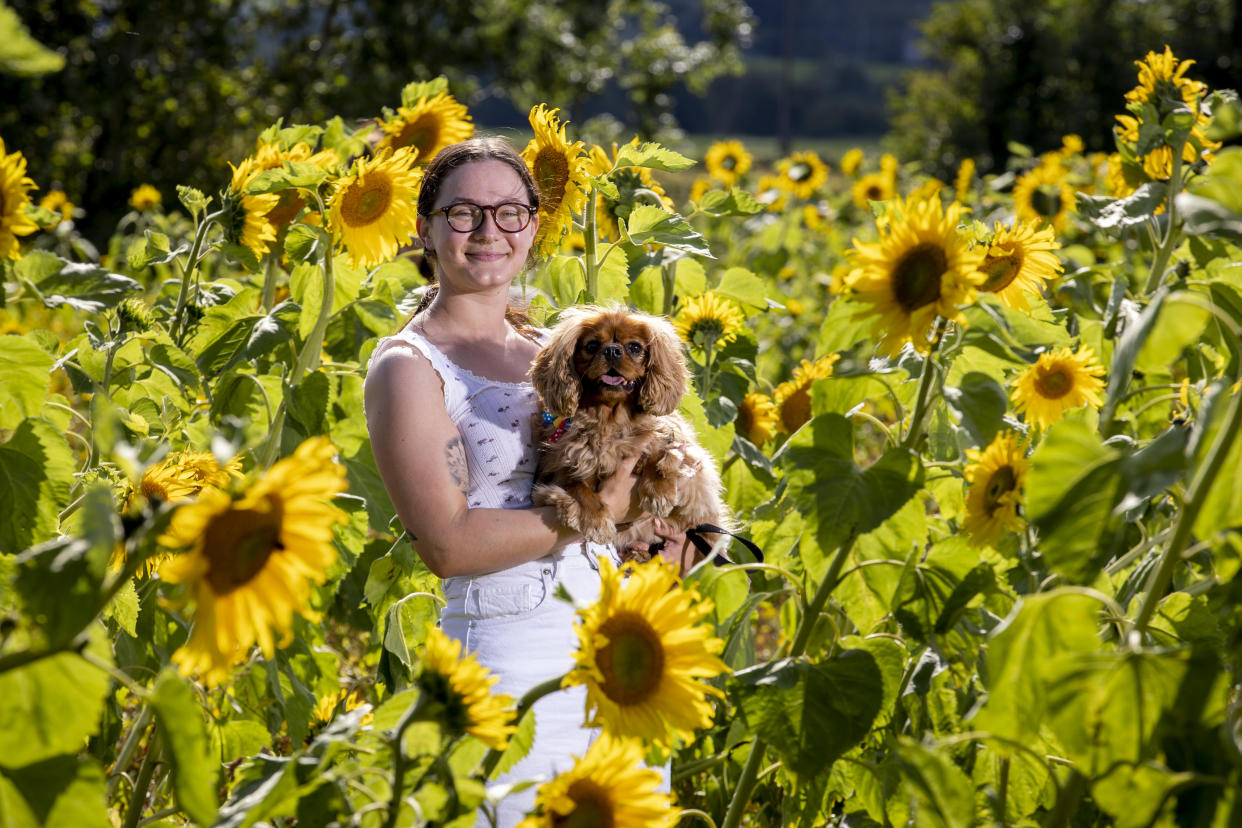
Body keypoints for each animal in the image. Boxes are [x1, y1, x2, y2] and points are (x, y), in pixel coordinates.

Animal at [531, 304, 725, 551]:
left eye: (634, 347)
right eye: (592, 346)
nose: (612, 350)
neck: (611, 421)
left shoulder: (678, 444)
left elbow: (661, 452)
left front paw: (659, 492)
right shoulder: (562, 466)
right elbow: (577, 486)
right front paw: (596, 520)